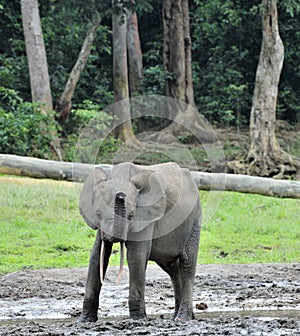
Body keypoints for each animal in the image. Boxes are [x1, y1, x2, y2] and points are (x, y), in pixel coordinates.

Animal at [78, 161, 203, 322]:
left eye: (131, 215)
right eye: (98, 214)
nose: (120, 195)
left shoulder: (146, 216)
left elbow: (136, 256)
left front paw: (138, 319)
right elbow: (97, 256)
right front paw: (84, 321)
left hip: (194, 218)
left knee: (187, 264)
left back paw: (182, 318)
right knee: (172, 269)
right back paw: (178, 317)